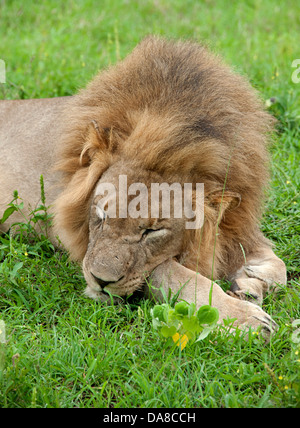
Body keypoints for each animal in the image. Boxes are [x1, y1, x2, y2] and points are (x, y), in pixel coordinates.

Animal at [0, 36, 286, 336]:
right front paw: (244, 319)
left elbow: (279, 268)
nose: (100, 281)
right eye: (101, 216)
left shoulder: (239, 224)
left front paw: (250, 283)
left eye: (152, 231)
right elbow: (178, 277)